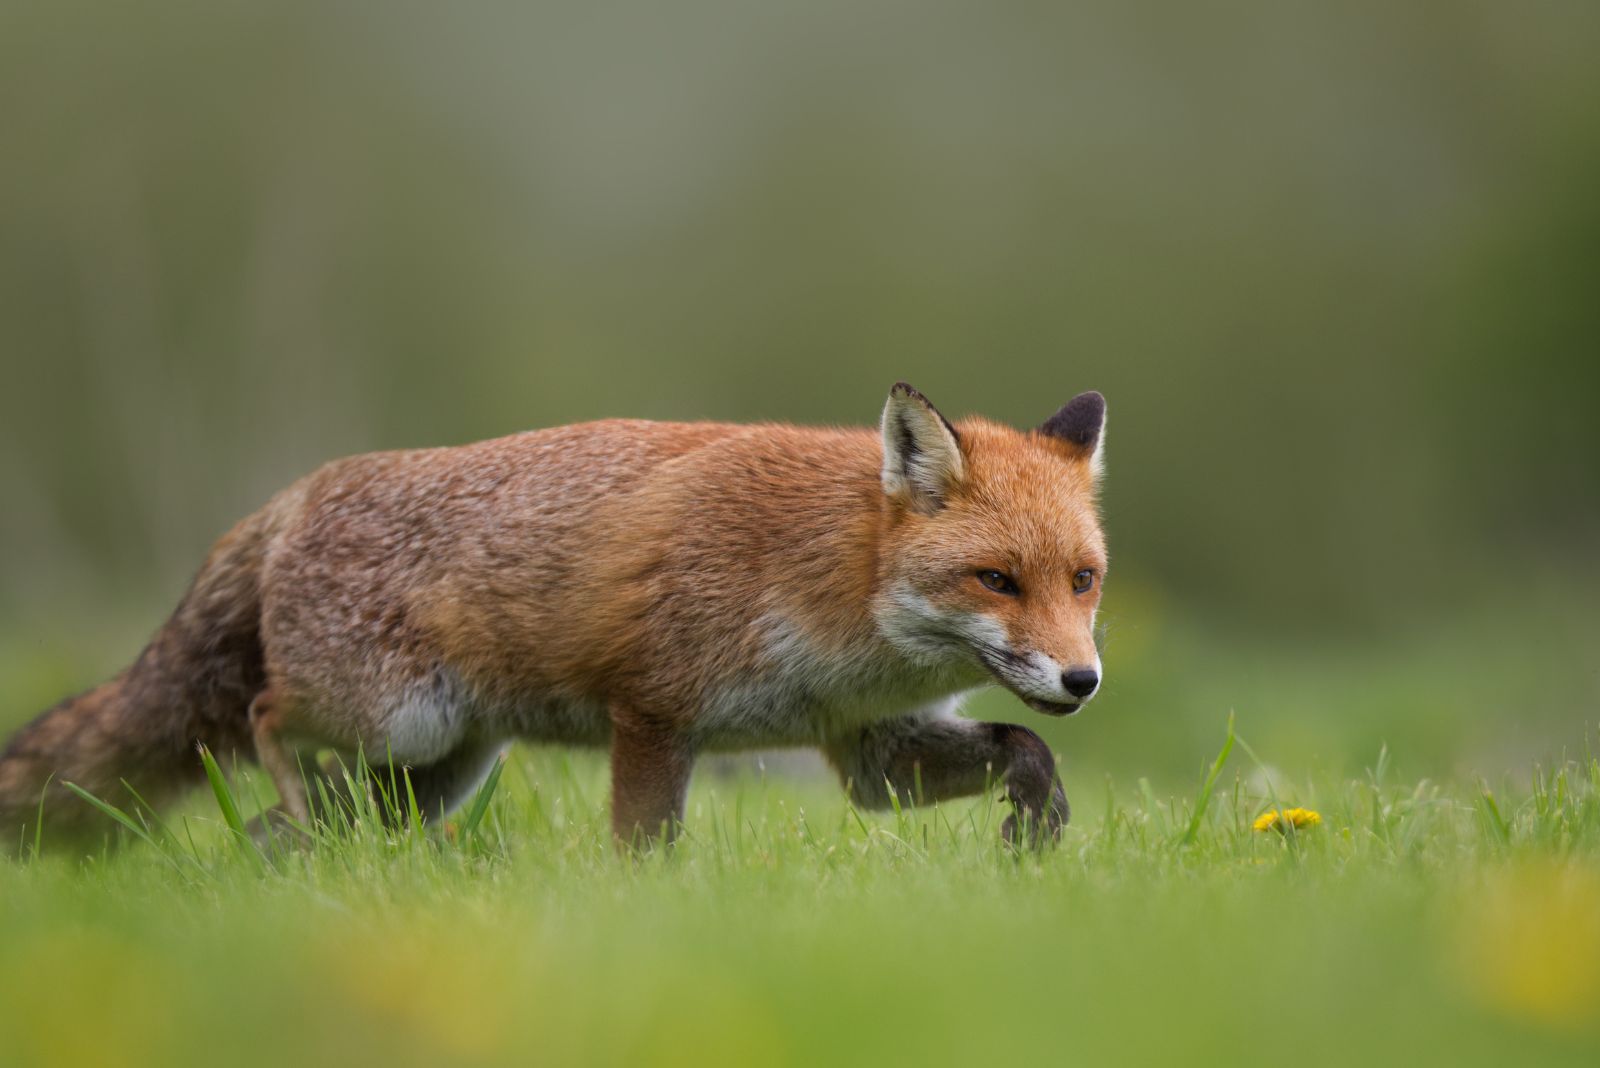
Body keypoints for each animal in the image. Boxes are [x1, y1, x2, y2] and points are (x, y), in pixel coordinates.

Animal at [0, 383, 1107, 850]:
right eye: (998, 580)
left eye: (1083, 581)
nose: (1084, 678)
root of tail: (294, 496)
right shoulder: (653, 711)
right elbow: (644, 850)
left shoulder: (867, 744)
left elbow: (1024, 750)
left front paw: (1040, 826)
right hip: (393, 723)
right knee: (264, 719)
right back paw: (300, 818)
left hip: (431, 771)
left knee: (291, 826)